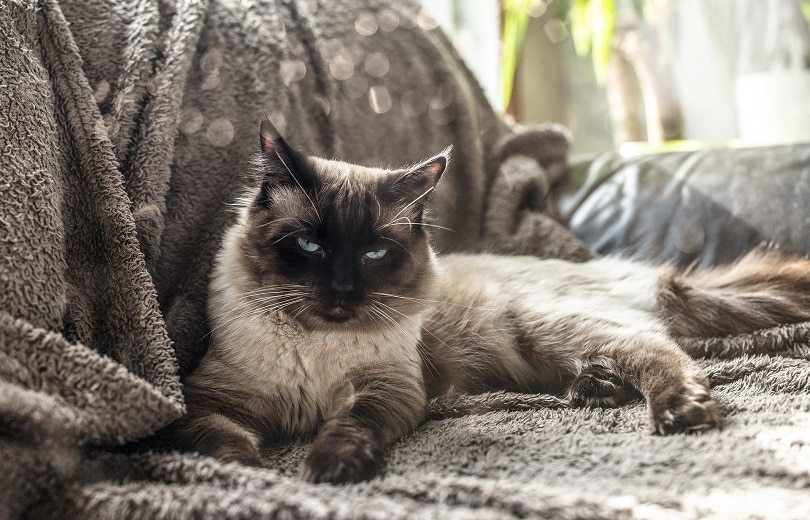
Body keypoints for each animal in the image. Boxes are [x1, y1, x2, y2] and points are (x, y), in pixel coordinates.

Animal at [175, 121, 808, 484]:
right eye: (310, 245)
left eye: (375, 253)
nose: (342, 292)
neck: (318, 351)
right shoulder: (203, 401)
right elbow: (215, 437)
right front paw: (253, 470)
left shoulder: (386, 391)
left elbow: (348, 425)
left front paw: (325, 470)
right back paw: (595, 389)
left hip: (541, 327)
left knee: (659, 350)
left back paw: (679, 411)